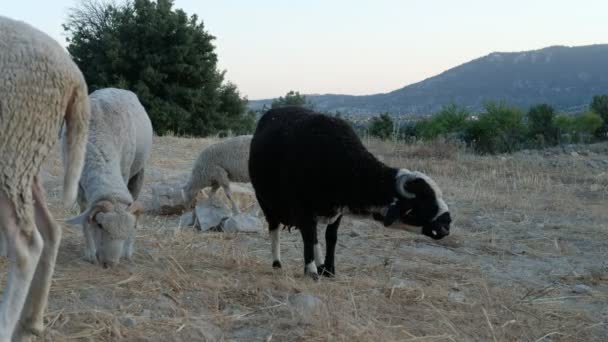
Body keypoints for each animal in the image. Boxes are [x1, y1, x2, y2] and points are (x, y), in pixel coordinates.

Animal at [0, 16, 90, 342]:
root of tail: (75, 76)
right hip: (25, 156)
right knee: (51, 230)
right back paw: (31, 323)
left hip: (11, 146)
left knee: (27, 247)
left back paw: (8, 327)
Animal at [64, 87, 152, 268]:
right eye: (100, 225)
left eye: (127, 230)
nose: (109, 263)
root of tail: (118, 88)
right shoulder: (79, 184)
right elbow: (84, 215)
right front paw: (89, 253)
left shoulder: (124, 170)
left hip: (138, 172)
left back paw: (128, 252)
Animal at [247, 107, 452, 280]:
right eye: (422, 203)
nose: (447, 224)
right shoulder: (303, 208)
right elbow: (308, 238)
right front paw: (311, 271)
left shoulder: (337, 212)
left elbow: (330, 238)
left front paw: (328, 270)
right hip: (265, 202)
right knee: (275, 229)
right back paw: (277, 263)